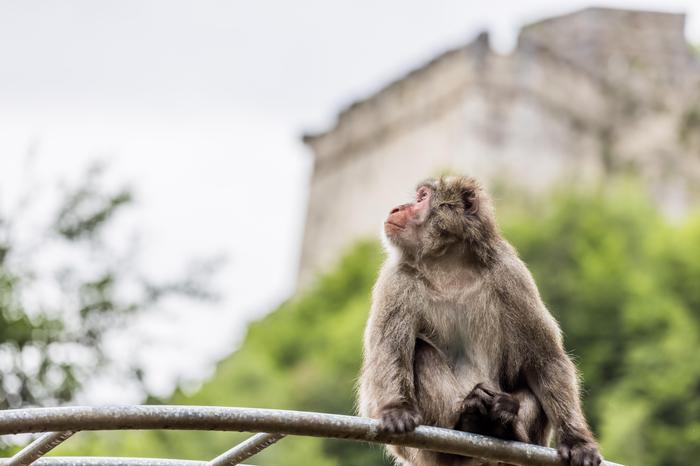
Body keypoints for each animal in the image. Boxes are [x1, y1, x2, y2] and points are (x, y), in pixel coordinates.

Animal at [360, 176, 600, 466]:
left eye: (422, 197)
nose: (397, 208)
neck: (447, 265)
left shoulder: (511, 273)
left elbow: (546, 360)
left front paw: (577, 441)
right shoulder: (396, 279)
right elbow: (388, 353)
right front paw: (396, 409)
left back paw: (503, 424)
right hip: (423, 452)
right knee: (420, 352)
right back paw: (467, 420)